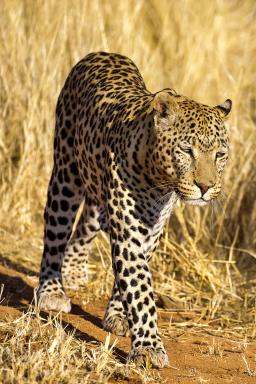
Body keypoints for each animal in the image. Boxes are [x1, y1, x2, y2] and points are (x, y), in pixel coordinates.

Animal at [37, 51, 232, 368]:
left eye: (220, 155)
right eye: (186, 151)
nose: (205, 187)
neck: (159, 181)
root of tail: (101, 53)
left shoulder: (151, 229)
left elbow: (129, 278)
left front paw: (119, 315)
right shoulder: (128, 229)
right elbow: (139, 288)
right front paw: (149, 348)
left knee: (87, 224)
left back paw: (74, 269)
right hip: (65, 173)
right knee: (56, 230)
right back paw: (51, 290)